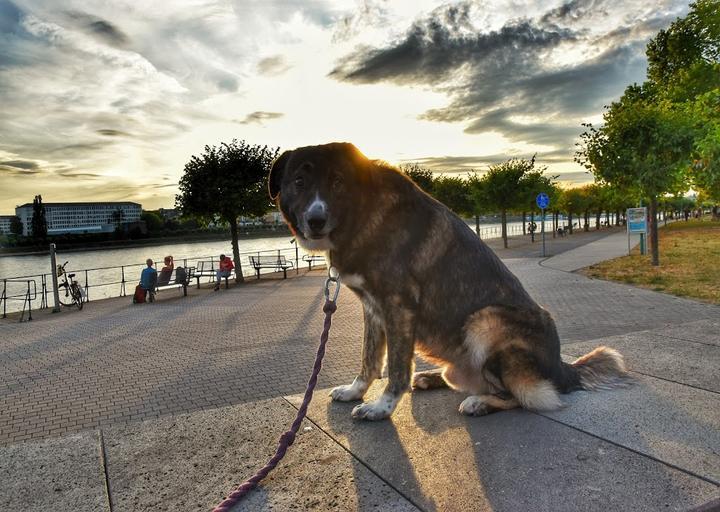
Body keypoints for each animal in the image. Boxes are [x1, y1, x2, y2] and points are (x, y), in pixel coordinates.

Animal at [268, 143, 628, 420]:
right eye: (299, 181)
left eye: (338, 182)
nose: (316, 220)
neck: (363, 213)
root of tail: (563, 368)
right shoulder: (373, 309)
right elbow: (370, 359)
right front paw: (357, 391)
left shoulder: (398, 306)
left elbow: (397, 367)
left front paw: (383, 408)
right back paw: (431, 378)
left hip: (486, 320)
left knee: (525, 395)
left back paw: (480, 402)